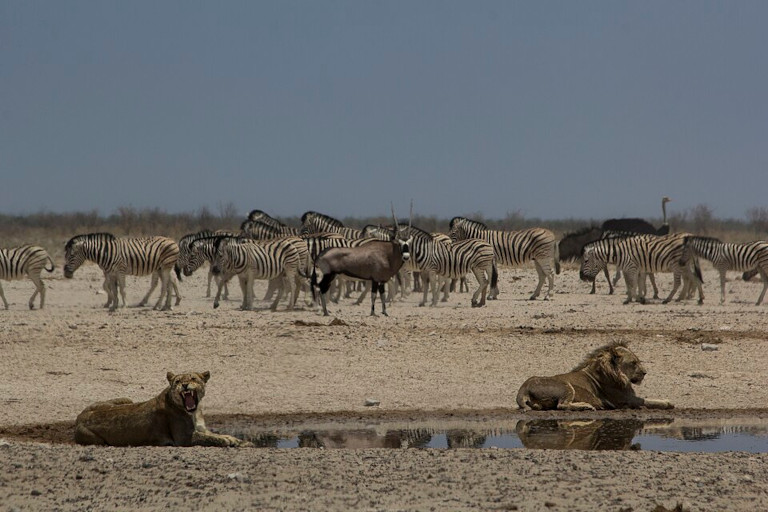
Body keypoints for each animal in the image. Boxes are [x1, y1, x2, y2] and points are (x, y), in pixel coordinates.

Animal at [74, 371, 249, 447]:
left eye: (193, 378)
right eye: (177, 381)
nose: (185, 385)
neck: (193, 411)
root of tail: (79, 417)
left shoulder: (201, 428)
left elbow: (215, 434)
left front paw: (238, 440)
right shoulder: (183, 439)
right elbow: (209, 438)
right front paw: (228, 441)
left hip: (126, 399)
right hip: (98, 440)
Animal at [516, 341, 674, 411]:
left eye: (638, 361)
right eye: (633, 363)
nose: (645, 372)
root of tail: (523, 388)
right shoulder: (627, 399)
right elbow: (649, 401)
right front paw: (667, 402)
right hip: (566, 386)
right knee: (562, 405)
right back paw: (586, 406)